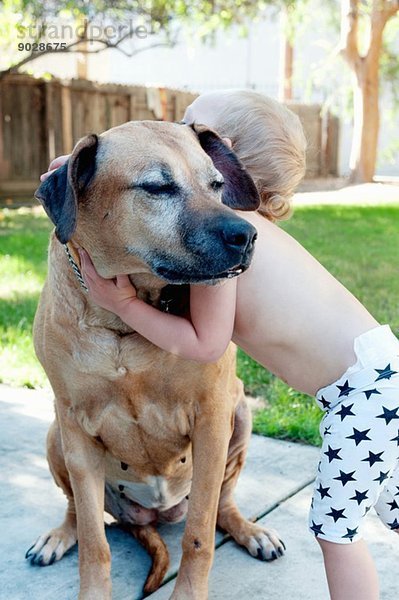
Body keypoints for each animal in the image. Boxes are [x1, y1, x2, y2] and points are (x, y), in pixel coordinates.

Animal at [26, 119, 286, 596]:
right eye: (157, 187)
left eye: (217, 184)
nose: (246, 235)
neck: (124, 322)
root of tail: (152, 515)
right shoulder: (74, 426)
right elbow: (94, 542)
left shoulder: (212, 418)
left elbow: (199, 535)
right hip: (55, 436)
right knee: (77, 512)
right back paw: (60, 535)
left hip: (239, 417)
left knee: (222, 504)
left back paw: (250, 529)